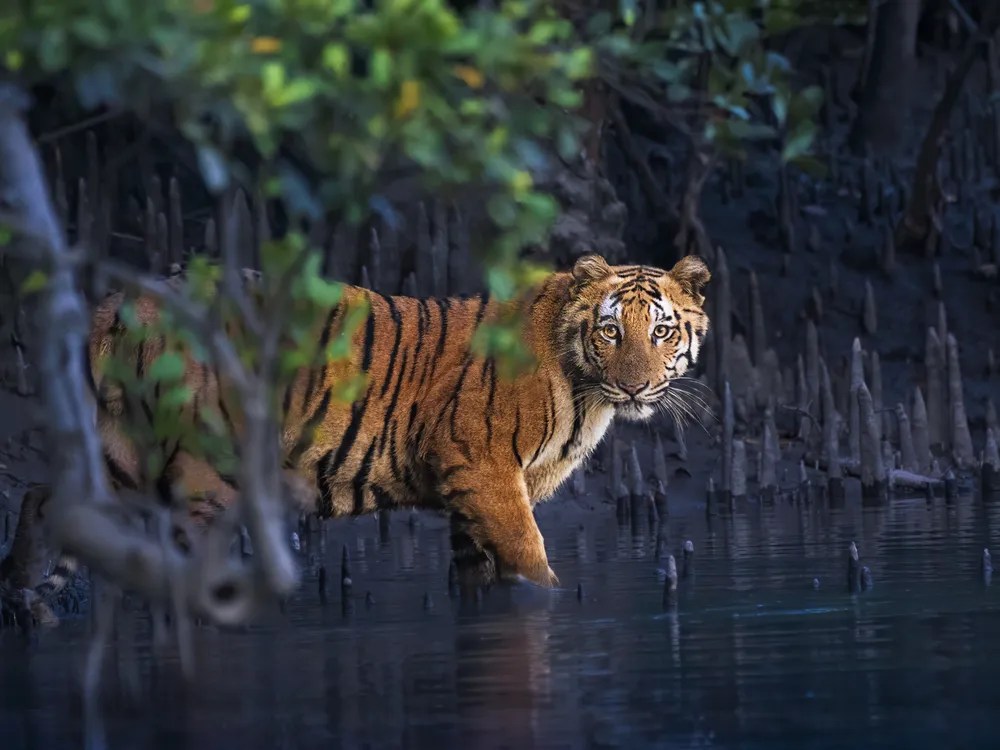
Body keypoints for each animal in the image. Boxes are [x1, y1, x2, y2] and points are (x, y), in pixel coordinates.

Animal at [0, 253, 711, 622]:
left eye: (662, 331)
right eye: (611, 331)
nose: (636, 387)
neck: (588, 393)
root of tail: (123, 300)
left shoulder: (471, 496)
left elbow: (480, 579)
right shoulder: (484, 473)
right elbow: (533, 566)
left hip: (122, 450)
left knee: (42, 498)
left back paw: (25, 598)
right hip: (201, 471)